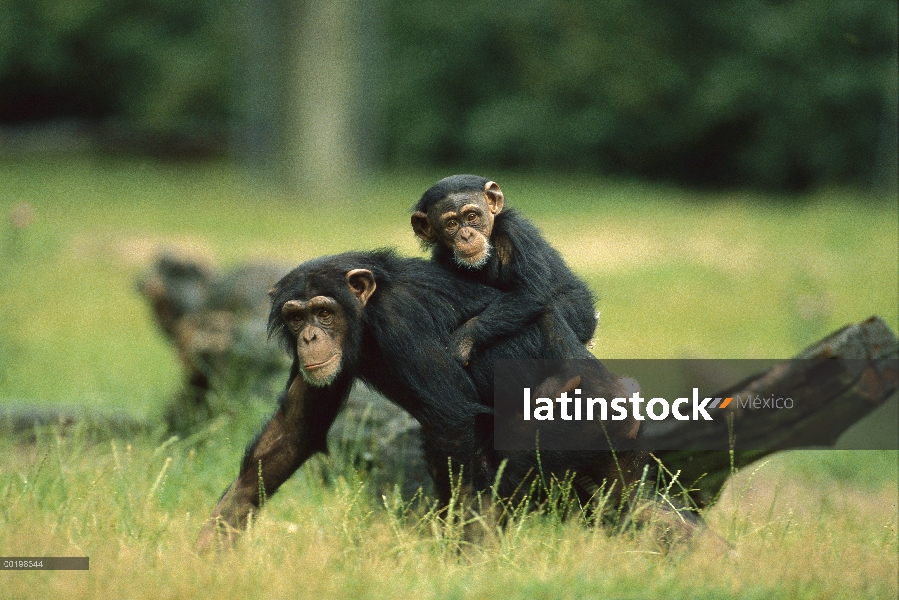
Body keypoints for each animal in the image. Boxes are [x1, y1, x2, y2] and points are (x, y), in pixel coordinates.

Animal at [195, 250, 660, 552]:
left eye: (324, 313)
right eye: (296, 316)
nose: (309, 336)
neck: (367, 314)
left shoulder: (403, 322)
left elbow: (451, 421)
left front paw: (461, 551)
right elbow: (291, 432)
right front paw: (208, 546)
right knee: (637, 509)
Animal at [414, 173, 596, 366]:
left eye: (471, 216)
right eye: (451, 224)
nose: (466, 235)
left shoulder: (515, 232)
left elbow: (527, 292)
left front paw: (461, 342)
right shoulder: (440, 255)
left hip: (582, 311)